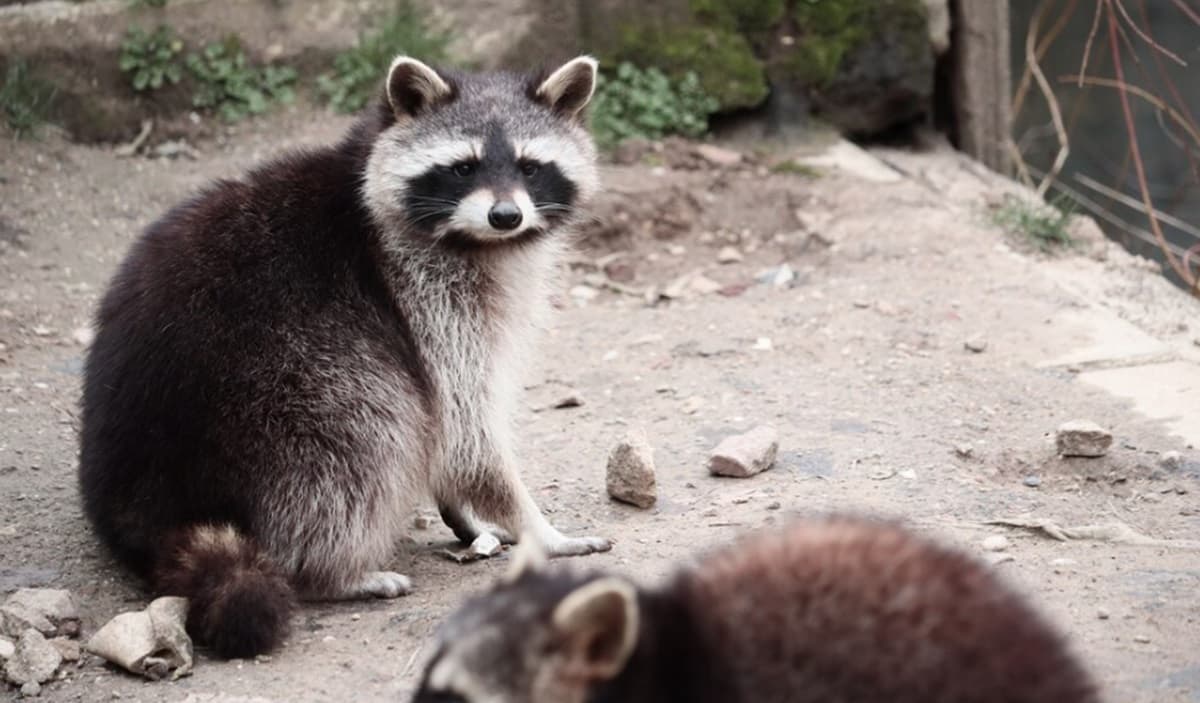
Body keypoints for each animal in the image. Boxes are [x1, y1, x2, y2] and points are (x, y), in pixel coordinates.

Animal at [77, 54, 609, 657]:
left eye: (530, 166)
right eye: (462, 169)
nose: (505, 216)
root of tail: (147, 504)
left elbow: (451, 437)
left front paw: (469, 516)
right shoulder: (423, 297)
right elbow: (464, 430)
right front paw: (539, 529)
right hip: (283, 386)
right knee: (366, 431)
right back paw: (330, 573)